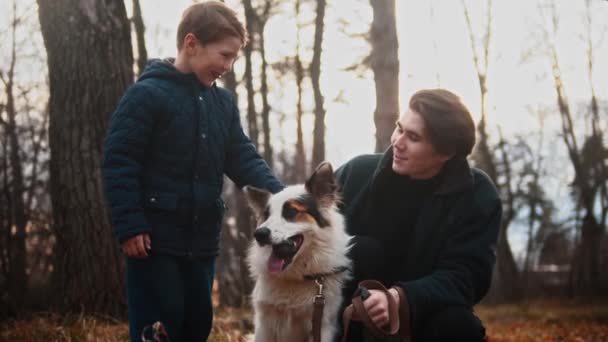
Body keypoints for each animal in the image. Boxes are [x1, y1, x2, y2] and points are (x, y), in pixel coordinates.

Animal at [245, 162, 352, 342]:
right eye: (266, 215)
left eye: (291, 212)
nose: (259, 234)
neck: (296, 275)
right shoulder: (264, 325)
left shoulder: (323, 325)